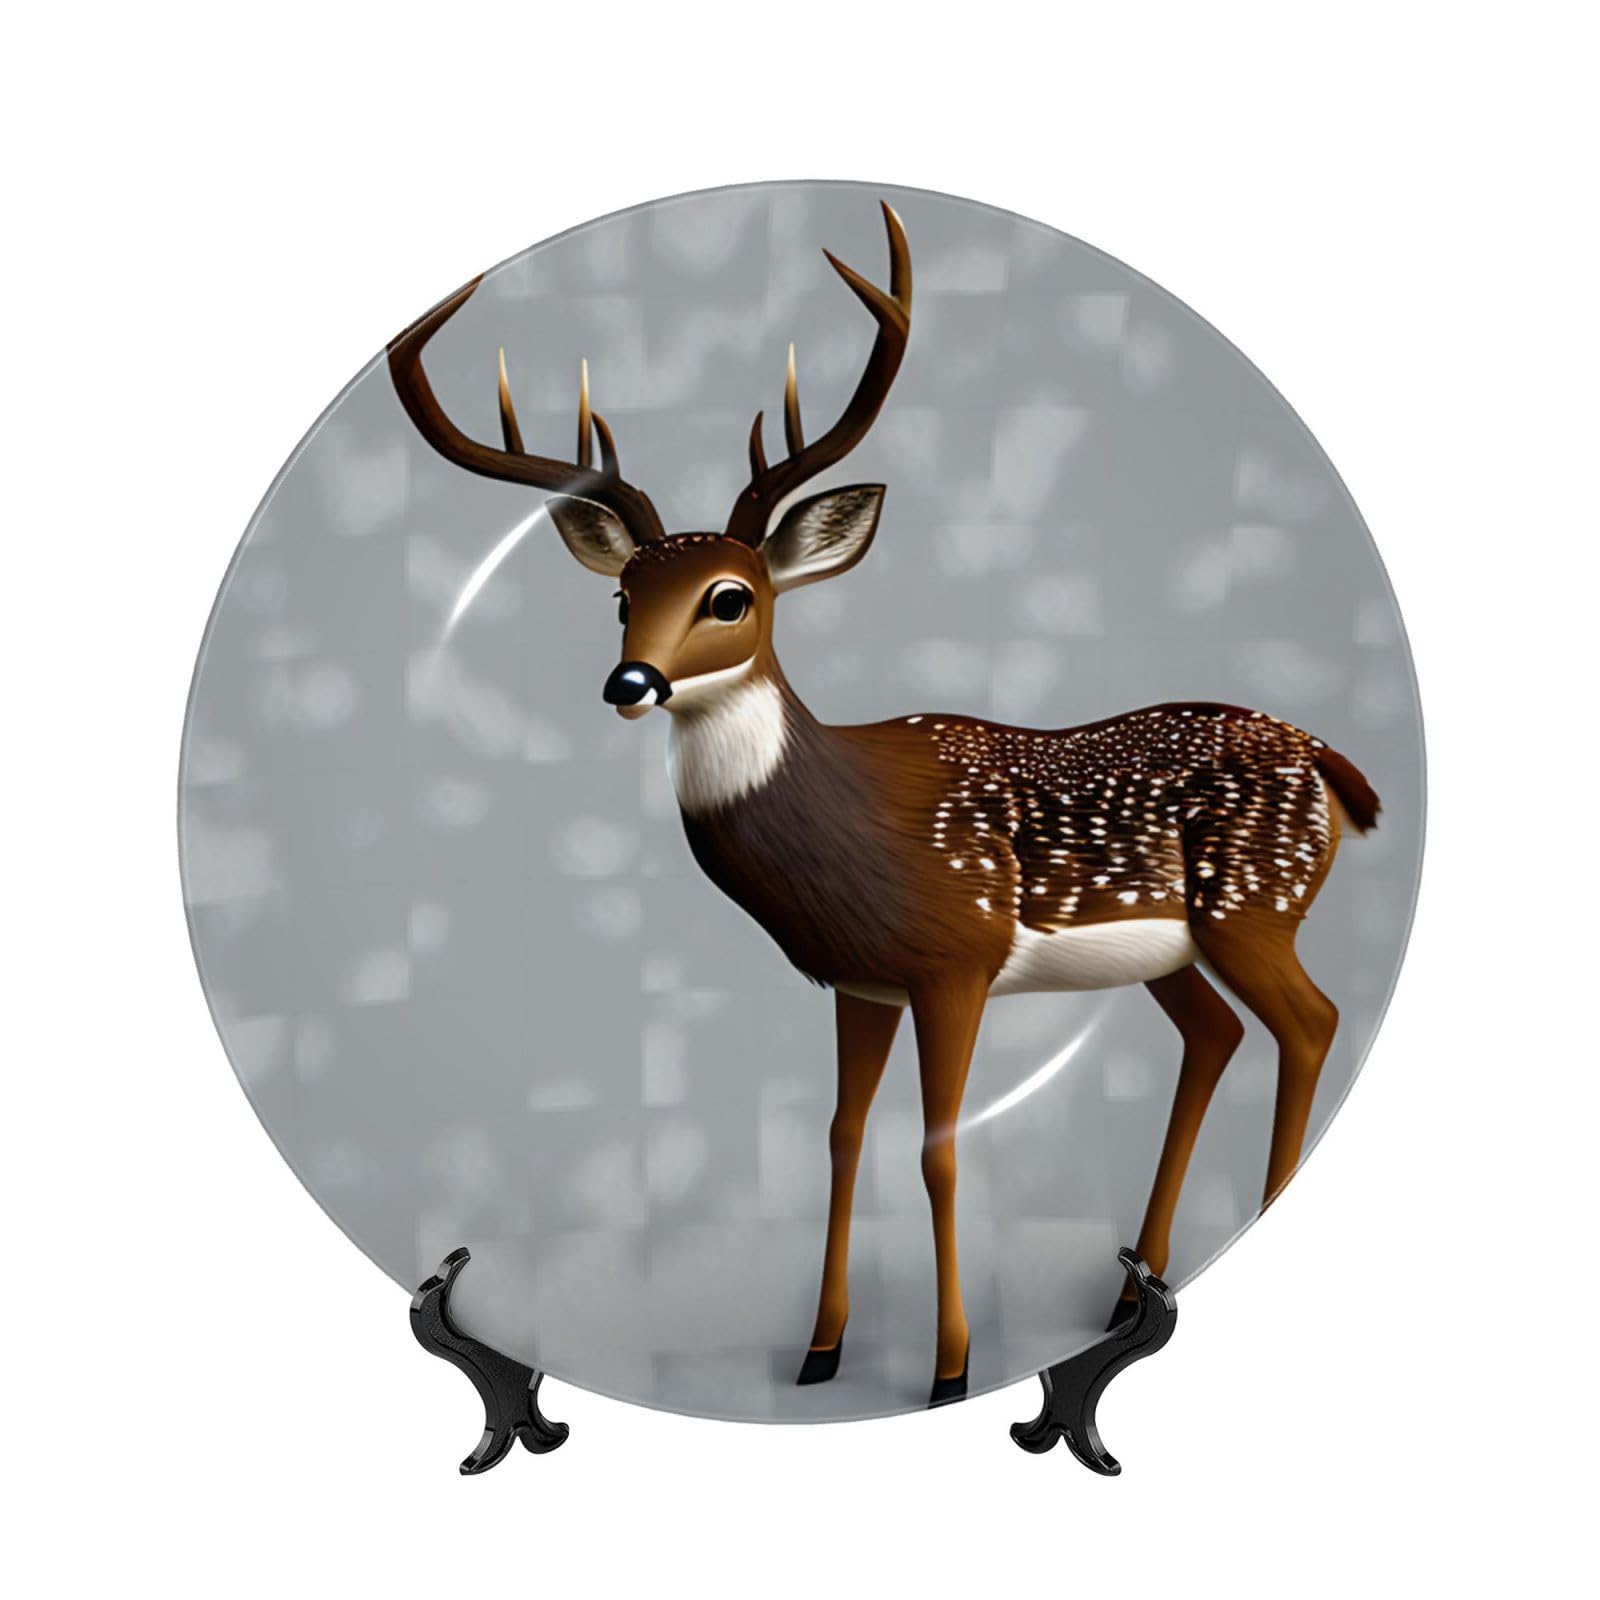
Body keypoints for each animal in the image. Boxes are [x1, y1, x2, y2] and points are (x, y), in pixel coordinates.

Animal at [389, 201, 1381, 1408]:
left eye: (732, 596)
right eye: (624, 595)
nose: (630, 683)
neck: (847, 834)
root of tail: (1328, 758)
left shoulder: (956, 955)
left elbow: (938, 1148)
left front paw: (950, 1367)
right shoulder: (858, 978)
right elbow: (840, 1133)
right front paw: (819, 1352)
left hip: (1254, 902)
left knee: (1312, 1022)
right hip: (1173, 948)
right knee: (1217, 1034)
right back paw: (1125, 1288)